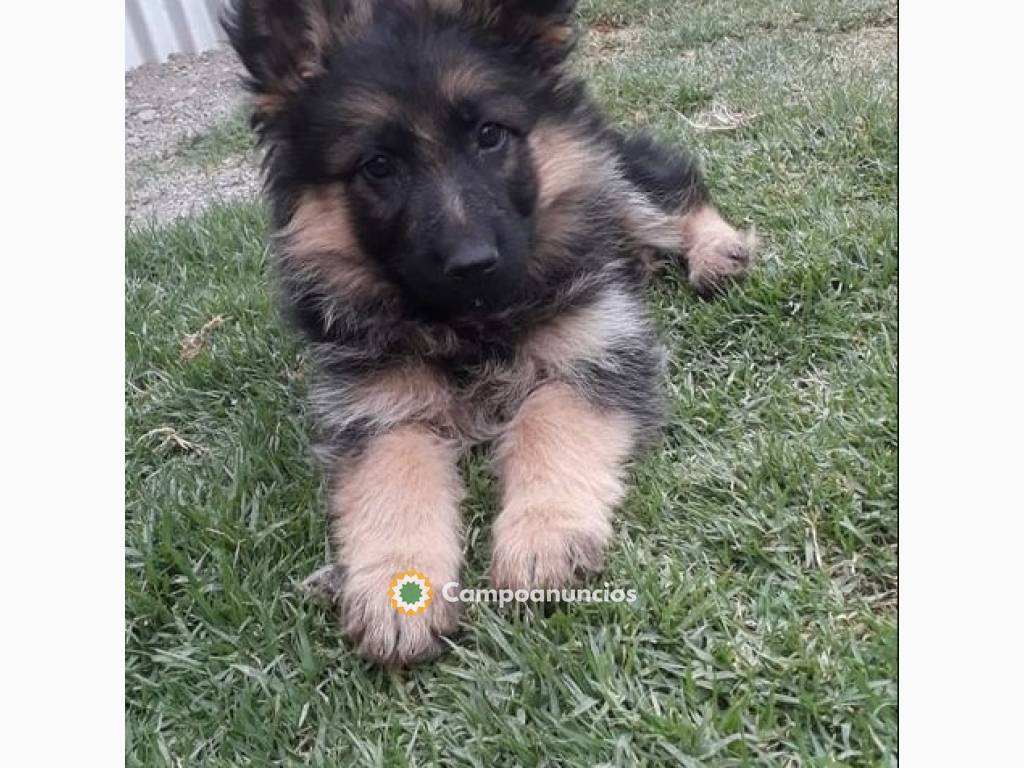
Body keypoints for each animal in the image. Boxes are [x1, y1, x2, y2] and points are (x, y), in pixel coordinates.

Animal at [224, 0, 753, 667]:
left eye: (489, 135)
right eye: (378, 166)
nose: (473, 263)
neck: (468, 327)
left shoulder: (596, 350)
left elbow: (549, 419)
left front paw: (543, 535)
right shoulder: (377, 409)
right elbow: (393, 474)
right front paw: (396, 585)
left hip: (612, 177)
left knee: (675, 189)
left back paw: (716, 252)